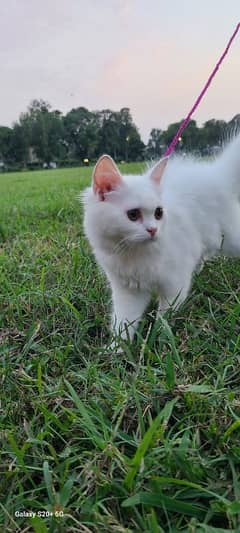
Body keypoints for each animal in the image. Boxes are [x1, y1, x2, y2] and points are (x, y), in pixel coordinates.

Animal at [83, 134, 240, 340]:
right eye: (133, 215)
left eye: (158, 213)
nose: (153, 230)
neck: (134, 254)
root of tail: (216, 175)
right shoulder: (127, 293)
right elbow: (123, 324)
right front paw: (117, 347)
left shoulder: (175, 285)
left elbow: (164, 317)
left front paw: (159, 338)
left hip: (230, 238)